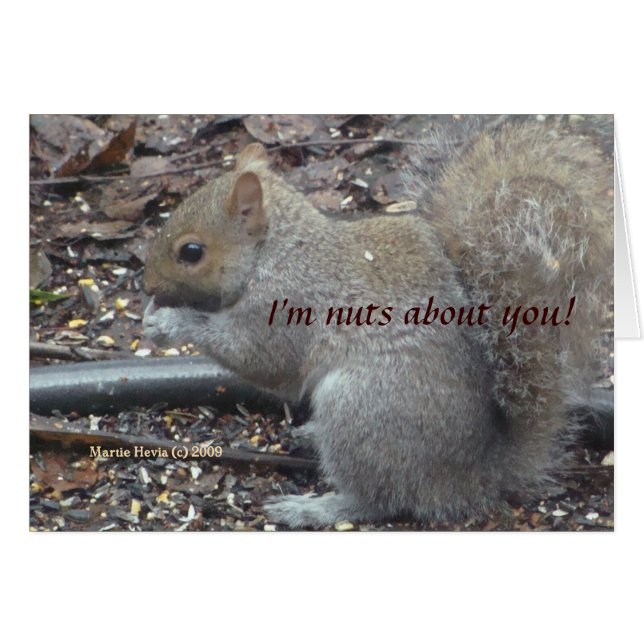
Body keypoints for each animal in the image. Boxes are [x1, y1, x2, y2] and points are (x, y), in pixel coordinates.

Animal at [143, 121, 613, 528]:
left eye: (191, 251)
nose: (148, 283)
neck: (277, 251)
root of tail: (474, 475)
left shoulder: (285, 306)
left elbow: (259, 358)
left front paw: (170, 321)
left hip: (360, 408)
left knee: (380, 500)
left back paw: (315, 508)